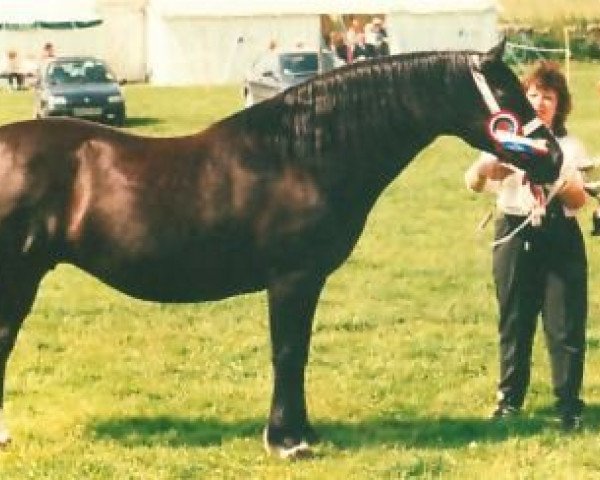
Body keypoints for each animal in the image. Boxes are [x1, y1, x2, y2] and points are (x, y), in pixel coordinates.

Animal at [0, 42, 564, 458]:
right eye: (506, 91)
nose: (554, 157)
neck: (302, 155)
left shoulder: (304, 281)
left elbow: (299, 351)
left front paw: (302, 431)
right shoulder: (292, 278)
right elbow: (288, 351)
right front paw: (287, 440)